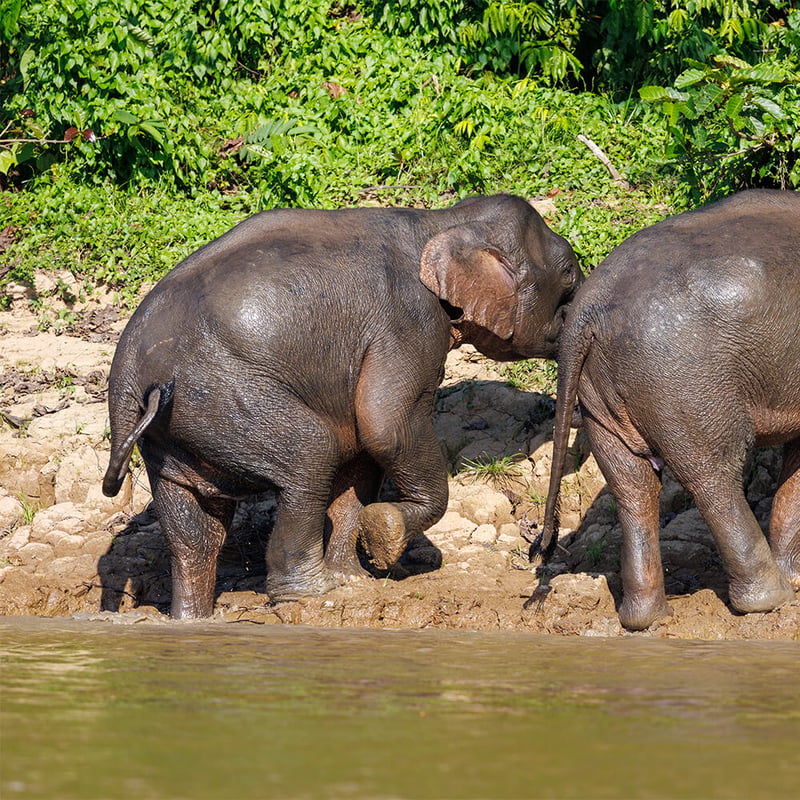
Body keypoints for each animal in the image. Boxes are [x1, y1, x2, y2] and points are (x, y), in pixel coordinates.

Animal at [103, 193, 581, 618]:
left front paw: (355, 578)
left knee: (194, 529)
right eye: (570, 275)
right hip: (226, 396)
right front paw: (384, 536)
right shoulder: (408, 322)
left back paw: (192, 617)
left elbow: (361, 455)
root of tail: (132, 374)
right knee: (310, 455)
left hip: (172, 433)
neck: (441, 221)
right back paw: (309, 593)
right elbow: (385, 423)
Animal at [531, 189, 800, 631]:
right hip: (684, 381)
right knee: (713, 475)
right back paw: (770, 600)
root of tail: (585, 312)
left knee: (632, 487)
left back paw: (646, 619)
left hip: (602, 390)